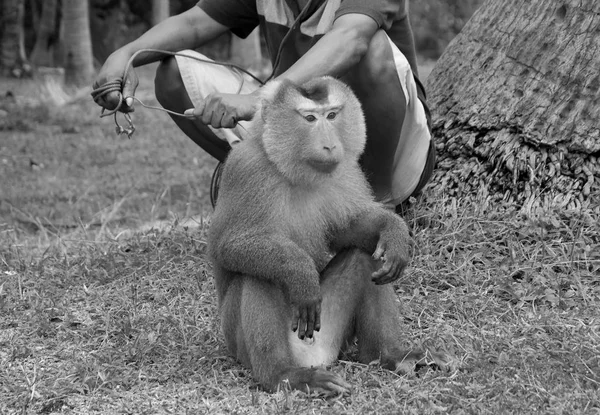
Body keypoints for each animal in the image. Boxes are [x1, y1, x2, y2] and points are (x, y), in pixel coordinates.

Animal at [206, 76, 450, 394]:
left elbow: (347, 231)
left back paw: (390, 355)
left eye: (332, 115)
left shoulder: (347, 171)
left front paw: (393, 231)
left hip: (330, 331)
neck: (291, 171)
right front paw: (298, 271)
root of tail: (313, 357)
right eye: (310, 118)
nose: (330, 144)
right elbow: (227, 246)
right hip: (242, 343)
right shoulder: (245, 169)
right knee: (257, 275)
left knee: (367, 254)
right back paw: (283, 375)